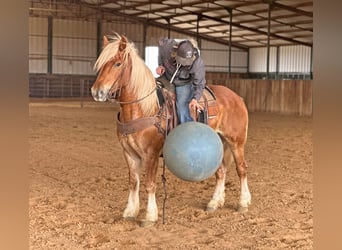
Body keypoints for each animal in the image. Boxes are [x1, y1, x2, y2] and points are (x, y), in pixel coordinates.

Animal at [91, 33, 251, 227]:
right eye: (101, 64)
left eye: (117, 64)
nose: (97, 92)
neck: (144, 108)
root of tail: (237, 97)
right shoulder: (129, 153)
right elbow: (133, 182)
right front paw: (130, 211)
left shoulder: (151, 154)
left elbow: (149, 184)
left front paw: (149, 216)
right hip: (219, 144)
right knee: (221, 171)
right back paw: (214, 202)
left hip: (237, 142)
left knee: (241, 169)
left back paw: (243, 203)